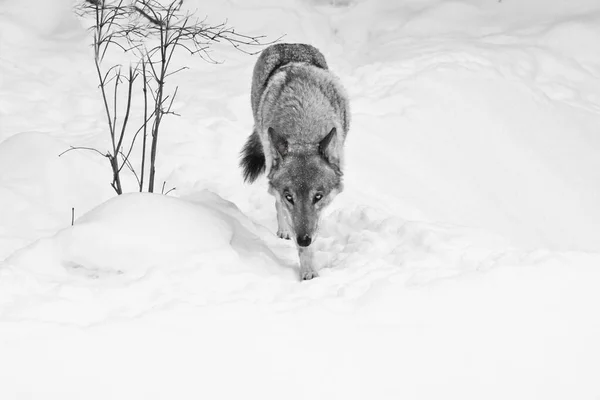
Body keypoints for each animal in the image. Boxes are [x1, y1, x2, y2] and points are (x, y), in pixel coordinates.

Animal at [240, 43, 352, 282]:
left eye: (317, 196)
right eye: (289, 197)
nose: (304, 239)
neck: (303, 129)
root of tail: (288, 44)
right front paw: (309, 272)